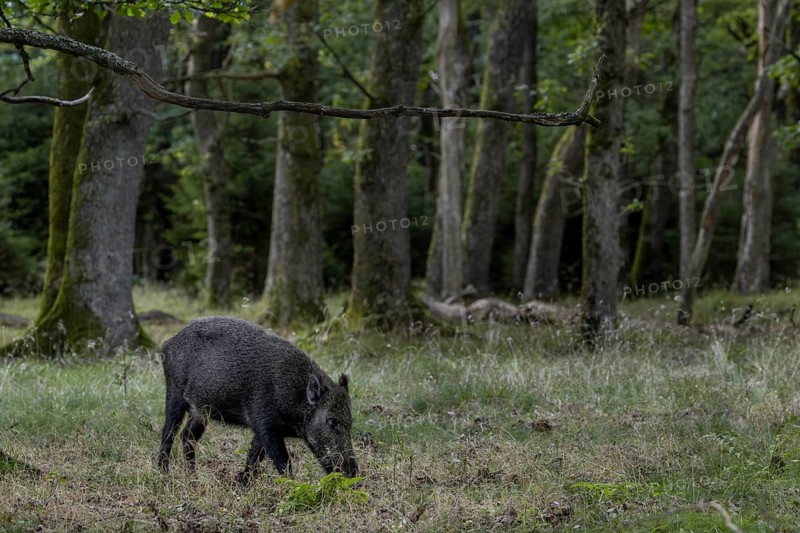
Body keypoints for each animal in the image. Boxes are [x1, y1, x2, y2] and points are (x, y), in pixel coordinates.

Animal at [157, 316, 358, 483]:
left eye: (350, 422)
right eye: (331, 421)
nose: (354, 472)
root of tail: (167, 343)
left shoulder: (261, 429)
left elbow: (254, 456)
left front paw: (242, 484)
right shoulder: (265, 424)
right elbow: (282, 462)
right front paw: (291, 486)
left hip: (200, 410)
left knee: (188, 436)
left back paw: (193, 477)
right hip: (175, 392)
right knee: (169, 432)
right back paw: (163, 473)